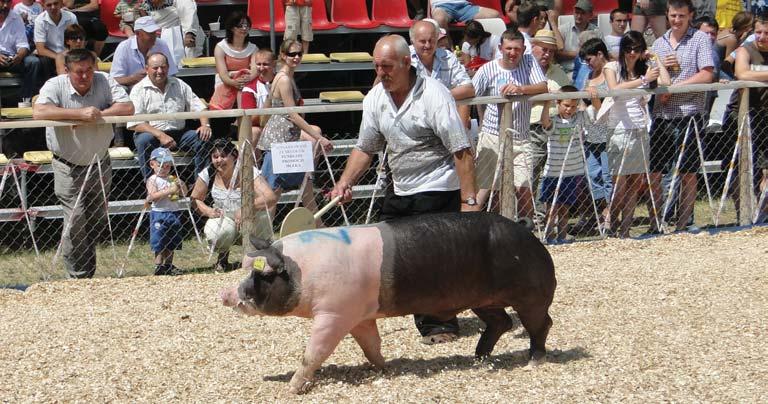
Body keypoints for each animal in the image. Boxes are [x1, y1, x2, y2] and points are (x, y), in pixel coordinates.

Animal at [219, 211, 556, 394]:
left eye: (261, 275)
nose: (225, 294)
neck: (303, 271)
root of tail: (528, 232)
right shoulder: (360, 316)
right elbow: (372, 345)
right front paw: (386, 369)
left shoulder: (335, 313)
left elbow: (314, 352)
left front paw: (291, 388)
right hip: (483, 300)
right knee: (502, 322)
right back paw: (479, 358)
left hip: (532, 295)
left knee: (540, 324)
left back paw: (533, 361)